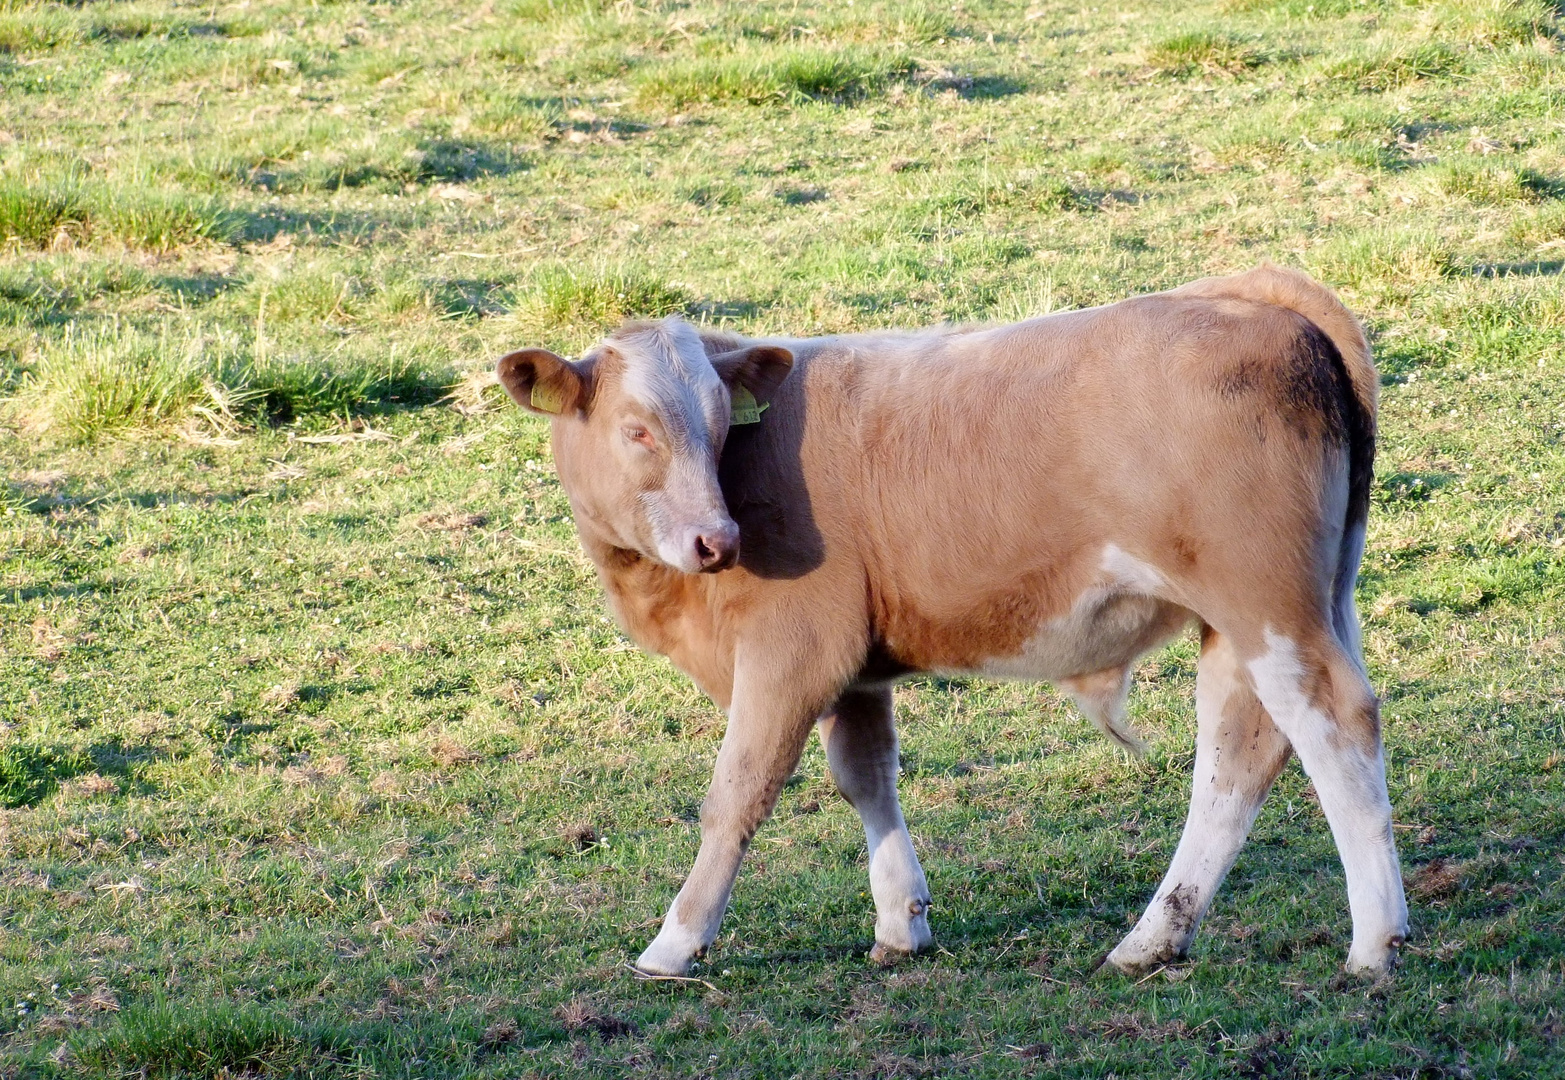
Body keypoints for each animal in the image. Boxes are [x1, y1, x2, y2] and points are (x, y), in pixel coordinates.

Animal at [497, 262, 1408, 976]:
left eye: (722, 427)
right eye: (637, 430)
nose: (715, 540)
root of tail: (1250, 294)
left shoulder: (792, 650)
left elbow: (737, 793)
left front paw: (674, 943)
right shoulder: (853, 665)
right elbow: (865, 776)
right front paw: (901, 922)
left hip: (1264, 601)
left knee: (1332, 723)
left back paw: (1374, 944)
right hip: (1270, 610)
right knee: (1235, 755)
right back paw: (1151, 940)